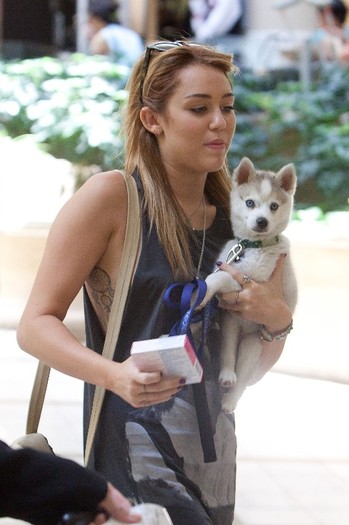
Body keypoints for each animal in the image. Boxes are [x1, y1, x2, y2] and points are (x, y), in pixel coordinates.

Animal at [201, 158, 296, 412]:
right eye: (250, 203)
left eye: (274, 206)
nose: (262, 221)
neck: (252, 245)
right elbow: (219, 274)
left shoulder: (254, 278)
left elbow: (219, 278)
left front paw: (202, 290)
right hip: (230, 326)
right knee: (227, 355)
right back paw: (226, 375)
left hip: (252, 345)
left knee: (242, 380)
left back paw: (230, 400)